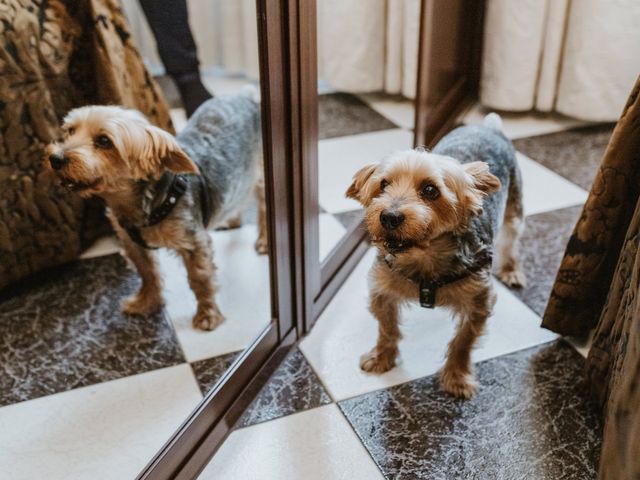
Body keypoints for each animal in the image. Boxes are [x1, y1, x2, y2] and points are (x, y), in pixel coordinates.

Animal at [44, 87, 264, 330]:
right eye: (70, 131)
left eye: (104, 141)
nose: (55, 158)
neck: (138, 205)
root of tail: (246, 92)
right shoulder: (131, 243)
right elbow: (147, 273)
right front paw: (146, 302)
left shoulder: (194, 242)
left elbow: (200, 278)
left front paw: (207, 314)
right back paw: (231, 220)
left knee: (263, 204)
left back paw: (263, 240)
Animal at [344, 113, 524, 398]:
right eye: (383, 184)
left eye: (430, 190)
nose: (389, 217)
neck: (425, 258)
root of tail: (487, 127)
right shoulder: (382, 290)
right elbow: (386, 327)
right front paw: (382, 357)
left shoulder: (478, 301)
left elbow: (463, 341)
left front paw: (457, 378)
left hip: (515, 205)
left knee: (512, 238)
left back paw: (511, 270)